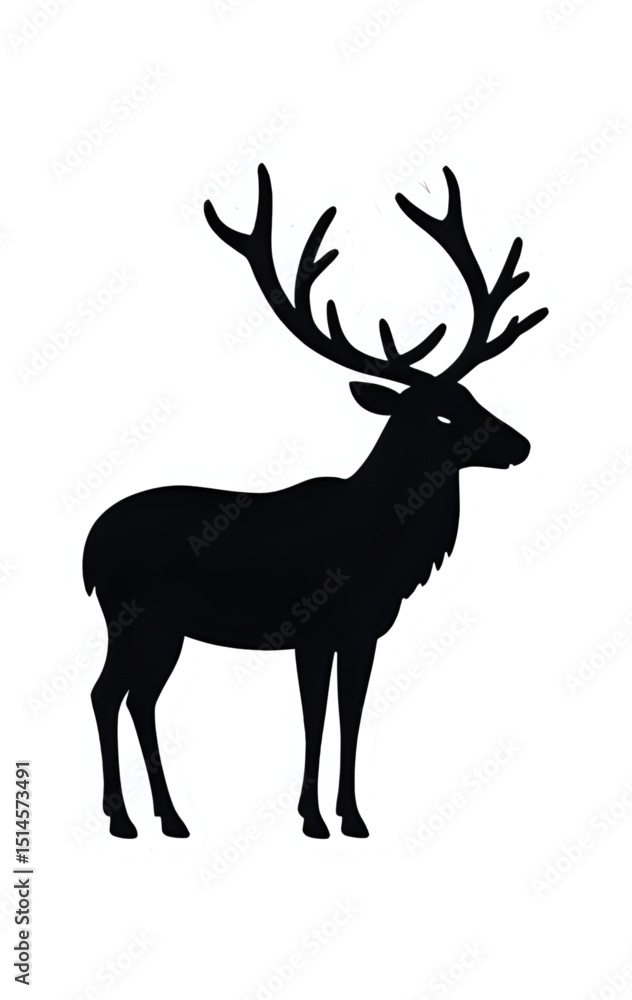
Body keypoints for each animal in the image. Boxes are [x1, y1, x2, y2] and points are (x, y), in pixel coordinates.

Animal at [84, 164, 547, 840]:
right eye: (443, 413)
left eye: (471, 396)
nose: (522, 444)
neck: (386, 551)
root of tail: (88, 549)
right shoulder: (313, 625)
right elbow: (315, 716)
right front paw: (314, 819)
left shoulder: (364, 629)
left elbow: (350, 713)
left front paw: (350, 817)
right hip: (134, 613)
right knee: (106, 693)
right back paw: (123, 819)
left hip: (160, 627)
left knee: (137, 698)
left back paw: (169, 817)